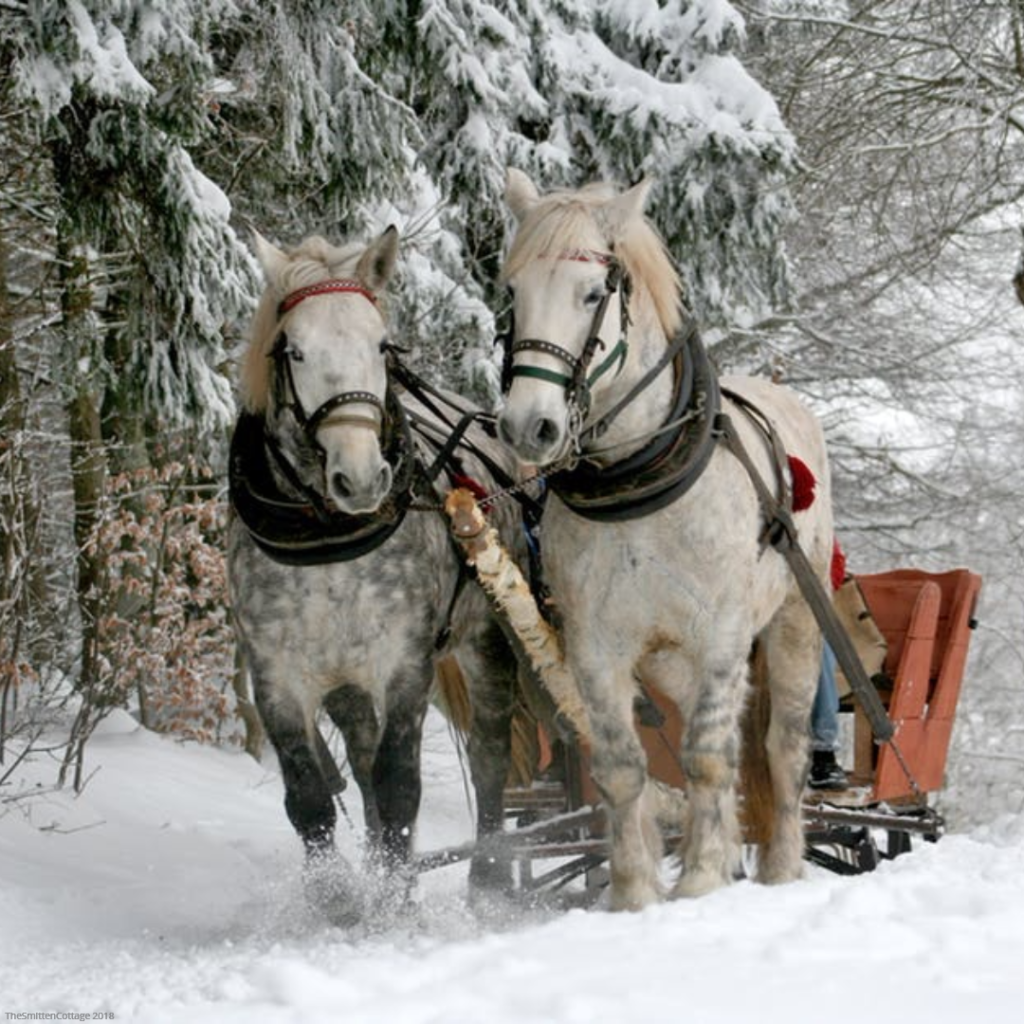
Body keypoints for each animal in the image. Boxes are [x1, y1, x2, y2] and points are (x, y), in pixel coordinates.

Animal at [495, 169, 831, 913]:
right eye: (513, 293)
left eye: (593, 293)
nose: (529, 427)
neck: (638, 477)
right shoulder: (595, 645)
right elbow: (624, 767)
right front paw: (634, 892)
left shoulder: (723, 634)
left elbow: (707, 756)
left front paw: (702, 878)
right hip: (670, 658)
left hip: (794, 621)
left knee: (781, 746)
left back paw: (781, 866)